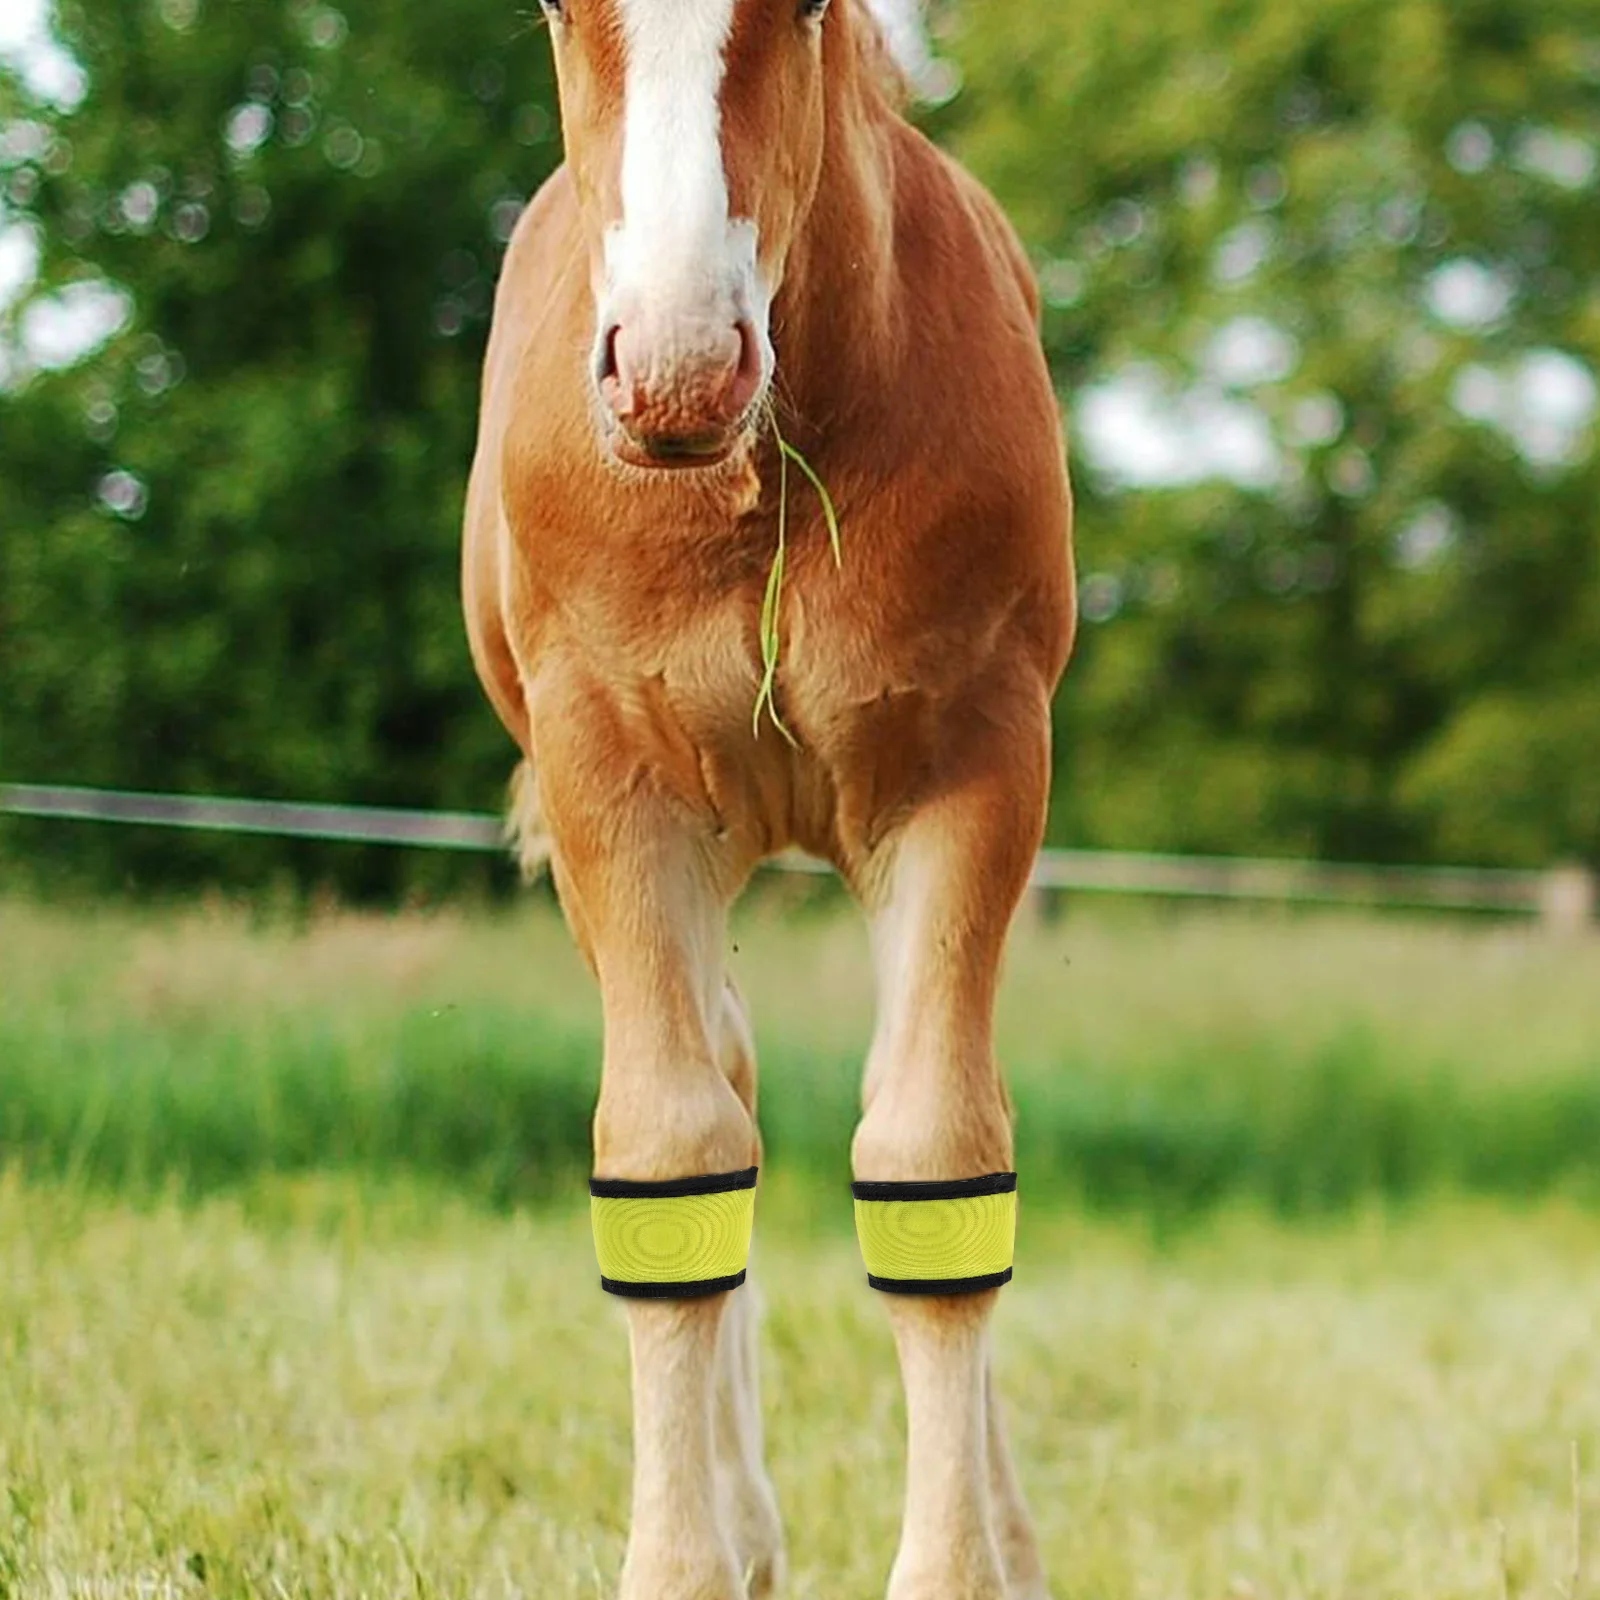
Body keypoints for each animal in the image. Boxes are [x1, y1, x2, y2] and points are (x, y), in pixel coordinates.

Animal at [464, 6, 1081, 1593]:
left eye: (802, 14)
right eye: (553, 17)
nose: (680, 368)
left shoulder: (971, 768)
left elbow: (937, 1154)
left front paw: (967, 1560)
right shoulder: (608, 782)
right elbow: (670, 1151)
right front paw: (691, 1556)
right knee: (721, 1082)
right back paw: (745, 1527)